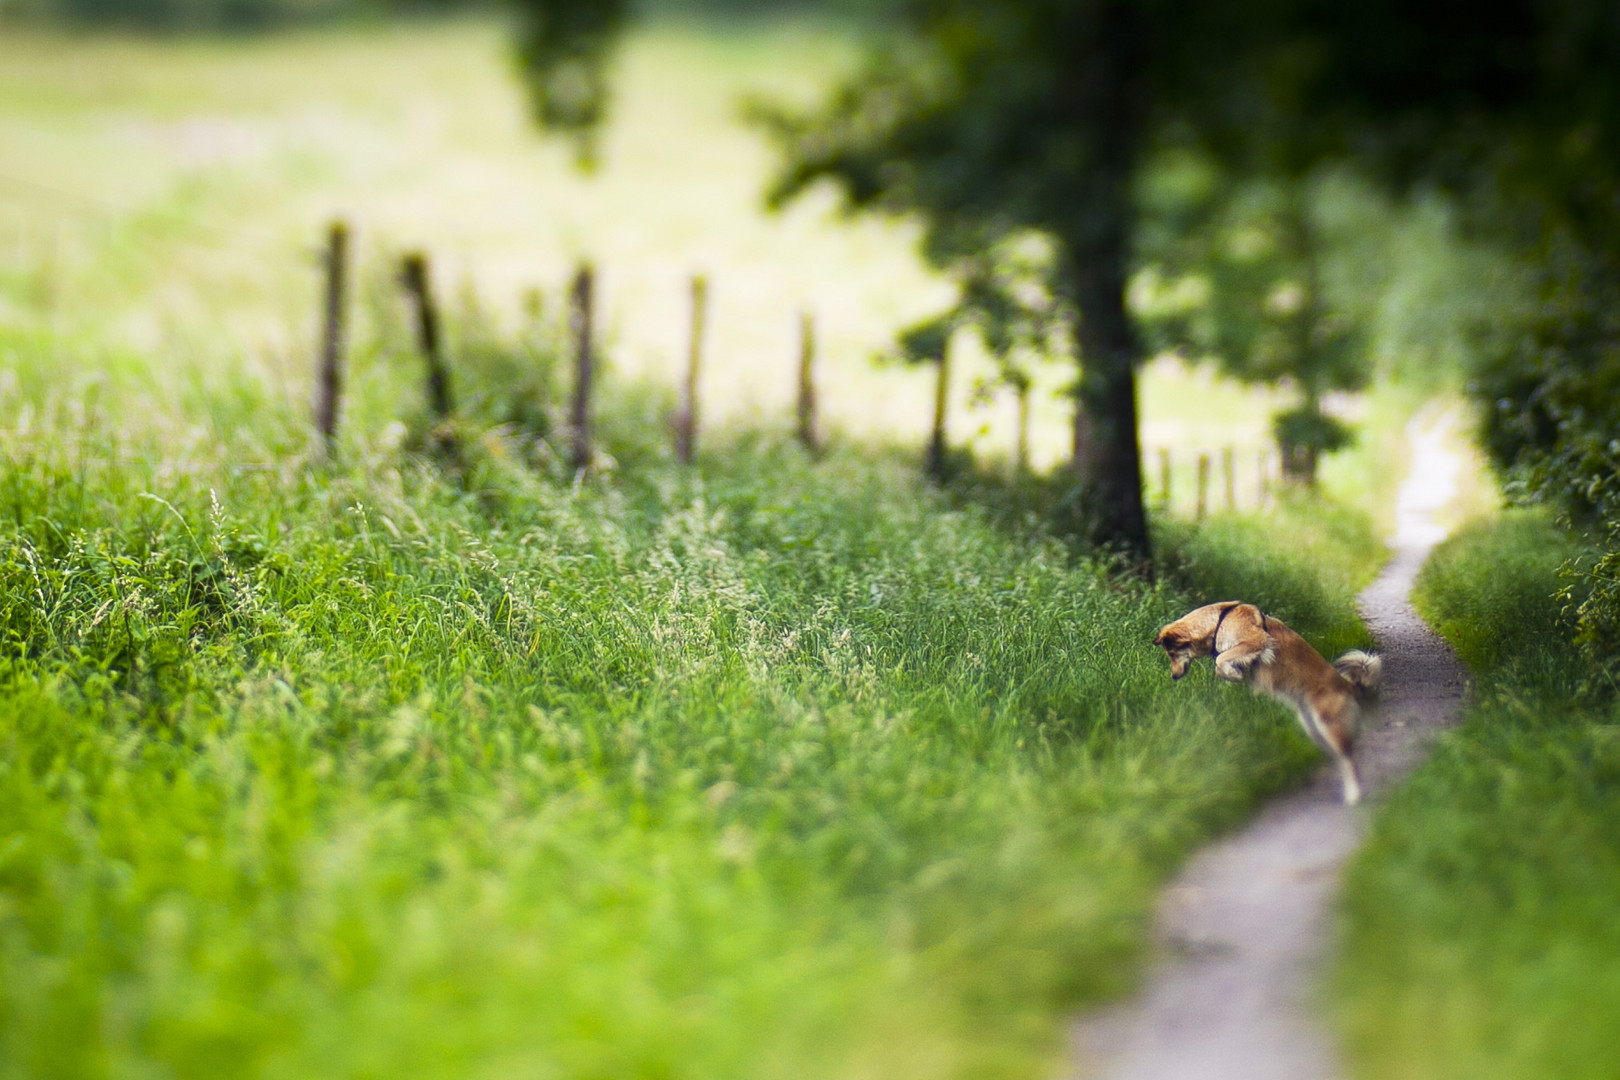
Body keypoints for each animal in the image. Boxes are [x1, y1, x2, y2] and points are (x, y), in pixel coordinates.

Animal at [1153, 605, 1380, 806]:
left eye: (1172, 654)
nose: (1174, 677)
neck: (1219, 621)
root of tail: (1347, 685)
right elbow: (1222, 663)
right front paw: (1233, 673)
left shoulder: (1256, 640)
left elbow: (1221, 659)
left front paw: (1233, 673)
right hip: (1315, 730)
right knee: (1340, 758)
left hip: (1330, 726)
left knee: (1350, 761)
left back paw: (1354, 795)